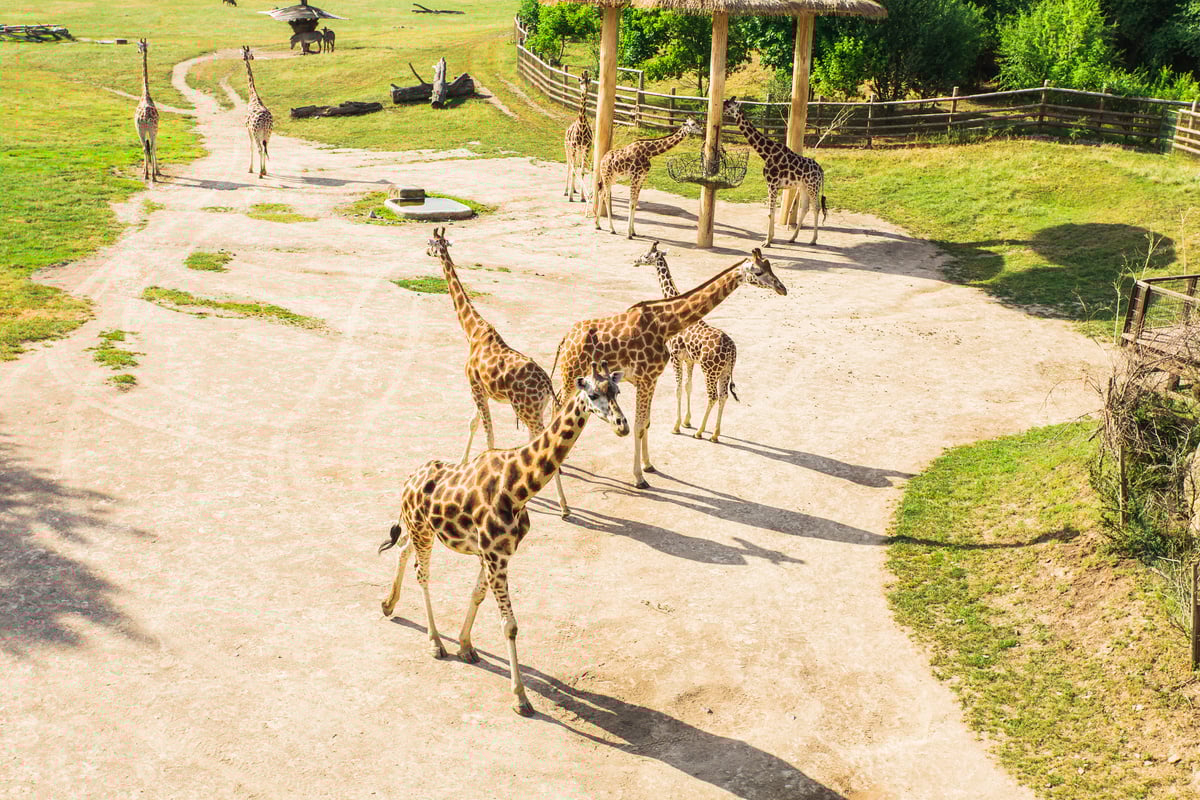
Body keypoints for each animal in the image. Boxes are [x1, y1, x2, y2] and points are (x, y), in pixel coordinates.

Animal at [379, 362, 629, 716]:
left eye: (618, 391)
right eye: (593, 394)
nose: (623, 426)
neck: (517, 487)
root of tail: (408, 480)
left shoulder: (497, 553)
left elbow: (477, 595)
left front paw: (466, 645)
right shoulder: (494, 555)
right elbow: (509, 625)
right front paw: (520, 698)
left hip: (420, 529)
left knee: (402, 548)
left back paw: (389, 604)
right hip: (422, 531)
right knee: (422, 574)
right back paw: (435, 642)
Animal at [425, 227, 573, 518]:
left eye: (430, 242)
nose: (426, 251)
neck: (472, 331)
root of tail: (547, 385)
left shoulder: (474, 386)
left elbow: (489, 435)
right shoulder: (481, 389)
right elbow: (473, 424)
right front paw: (462, 462)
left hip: (527, 410)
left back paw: (563, 506)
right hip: (537, 409)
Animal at [634, 241, 741, 443]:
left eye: (646, 255)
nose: (635, 260)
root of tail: (732, 350)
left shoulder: (675, 357)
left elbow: (677, 388)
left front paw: (676, 426)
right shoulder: (689, 360)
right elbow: (687, 386)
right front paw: (687, 421)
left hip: (710, 370)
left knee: (713, 396)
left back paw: (700, 432)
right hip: (725, 370)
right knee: (723, 396)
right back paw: (715, 434)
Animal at [723, 96, 827, 248]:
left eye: (730, 105)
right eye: (725, 102)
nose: (721, 110)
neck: (766, 154)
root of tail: (821, 171)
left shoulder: (772, 184)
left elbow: (770, 212)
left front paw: (767, 241)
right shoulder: (772, 185)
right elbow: (771, 212)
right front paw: (769, 239)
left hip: (813, 187)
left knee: (816, 208)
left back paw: (813, 240)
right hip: (803, 187)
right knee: (805, 208)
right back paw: (792, 238)